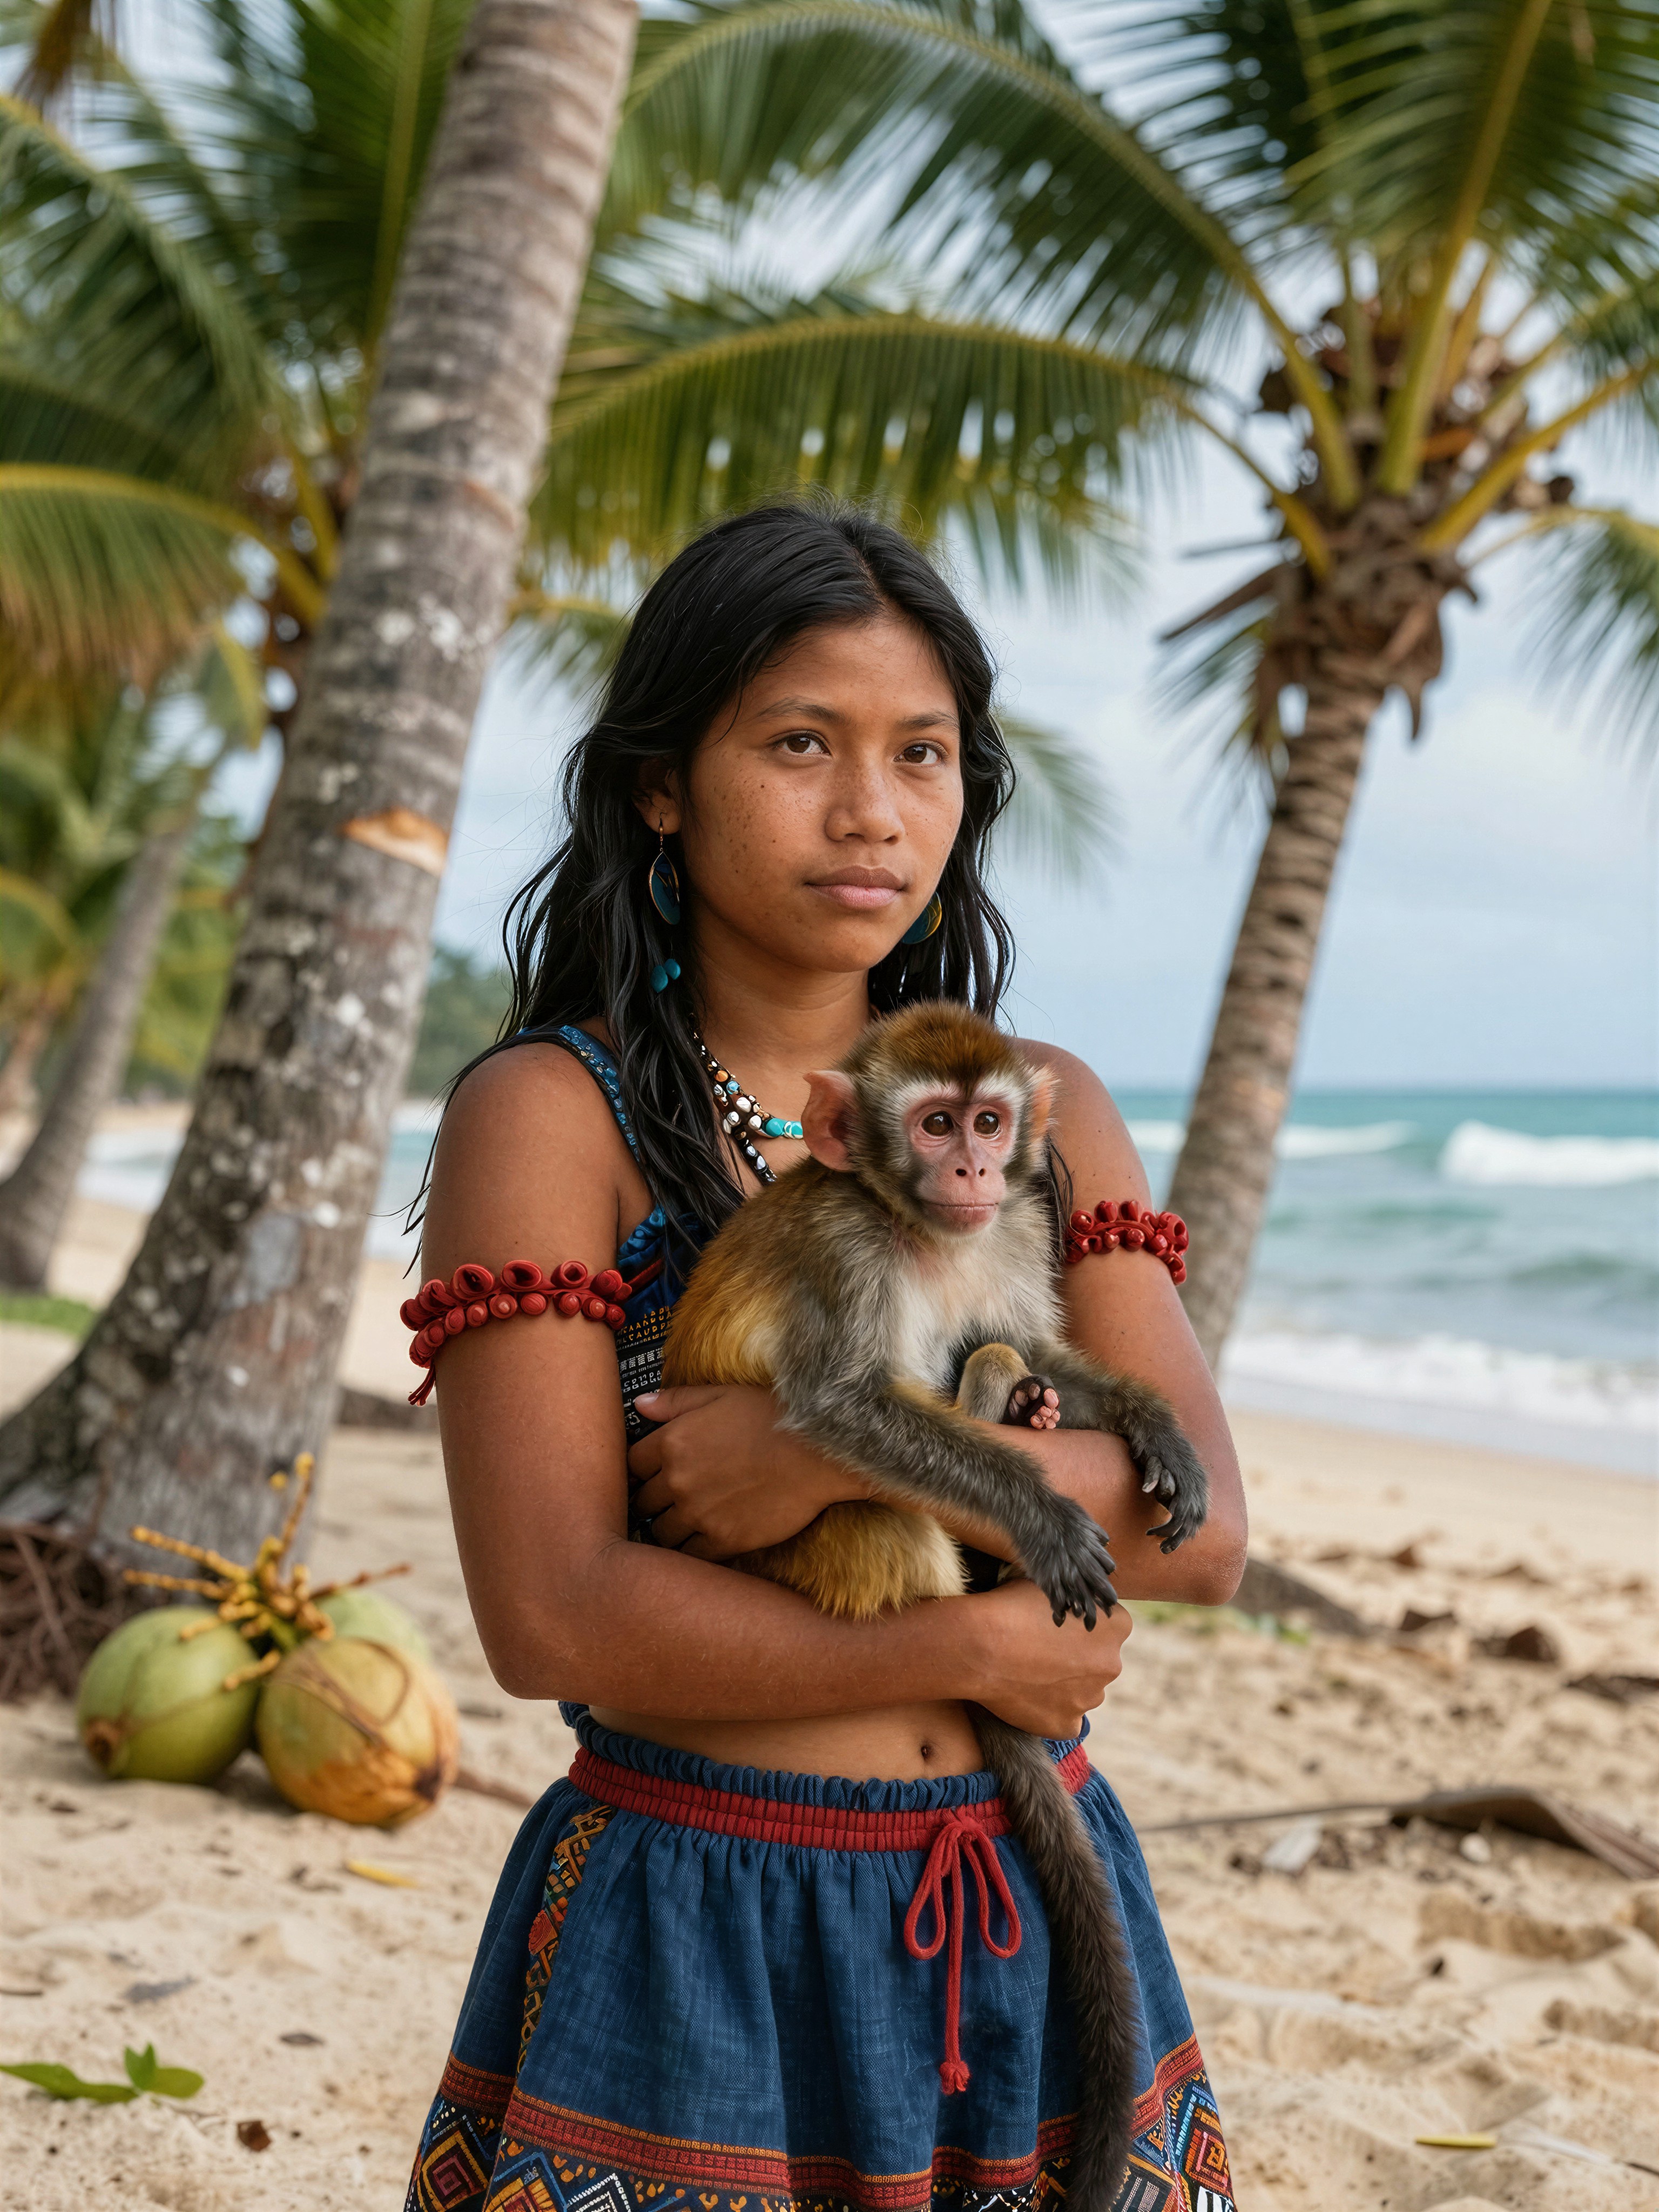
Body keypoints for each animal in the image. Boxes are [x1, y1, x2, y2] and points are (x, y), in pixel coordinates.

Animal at [657, 1000, 1210, 2210]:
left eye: (990, 1120)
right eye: (935, 1122)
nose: (971, 1166)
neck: (920, 1229)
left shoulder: (1009, 1229)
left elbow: (1034, 1335)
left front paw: (1156, 1426)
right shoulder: (844, 1253)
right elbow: (842, 1407)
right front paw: (1040, 1513)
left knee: (998, 1348)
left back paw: (1022, 1406)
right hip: (820, 1554)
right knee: (892, 1512)